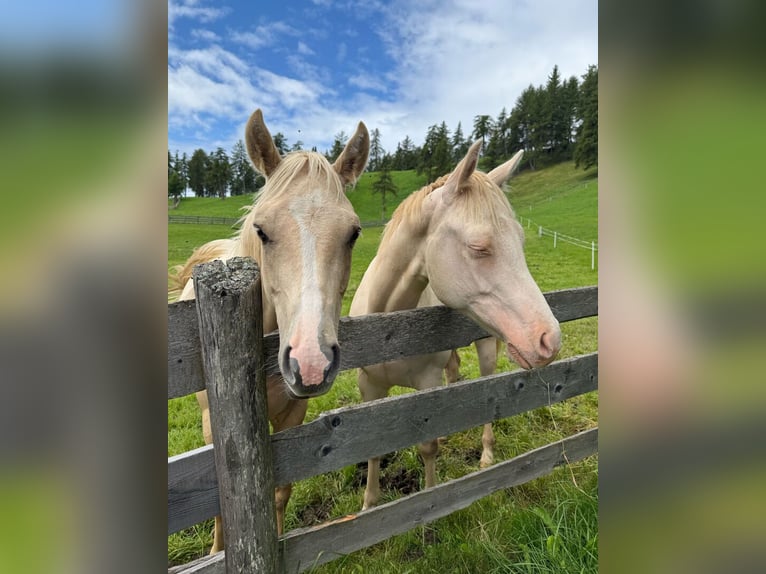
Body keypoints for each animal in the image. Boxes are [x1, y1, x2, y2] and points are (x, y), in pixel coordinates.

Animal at [171, 108, 369, 553]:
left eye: (353, 233)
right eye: (262, 230)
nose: (311, 363)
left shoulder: (295, 415)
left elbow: (281, 491)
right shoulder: (216, 431)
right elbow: (218, 504)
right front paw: (217, 553)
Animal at [348, 141, 561, 509]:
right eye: (479, 247)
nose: (549, 340)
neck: (388, 330)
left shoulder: (427, 386)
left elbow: (427, 447)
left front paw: (431, 501)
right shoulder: (370, 387)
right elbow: (373, 450)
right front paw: (368, 505)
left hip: (488, 348)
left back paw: (487, 455)